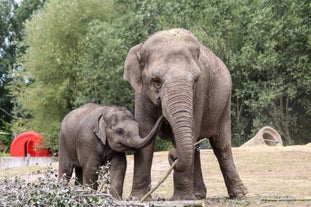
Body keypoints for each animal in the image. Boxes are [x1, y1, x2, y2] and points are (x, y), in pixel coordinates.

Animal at [124, 28, 249, 200]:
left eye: (195, 79)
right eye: (156, 81)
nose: (173, 156)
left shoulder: (200, 90)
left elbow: (193, 128)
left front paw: (182, 199)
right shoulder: (141, 93)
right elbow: (144, 134)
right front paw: (137, 198)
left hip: (225, 103)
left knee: (221, 145)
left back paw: (239, 194)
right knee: (195, 149)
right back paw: (198, 195)